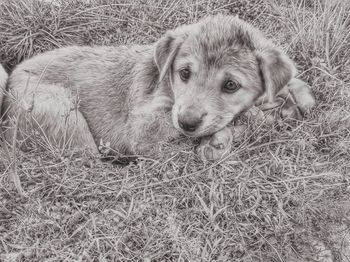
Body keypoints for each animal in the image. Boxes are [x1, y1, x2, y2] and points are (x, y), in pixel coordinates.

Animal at [0, 15, 316, 161]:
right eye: (184, 73)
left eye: (230, 85)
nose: (187, 122)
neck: (167, 86)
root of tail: (11, 77)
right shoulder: (144, 126)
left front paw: (295, 95)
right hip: (62, 113)